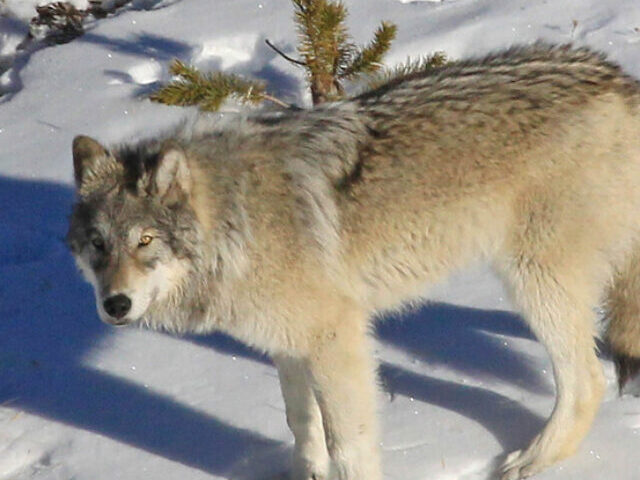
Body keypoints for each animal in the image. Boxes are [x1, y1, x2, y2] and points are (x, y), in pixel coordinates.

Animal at [66, 45, 640, 480]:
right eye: (98, 244)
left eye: (145, 240)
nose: (115, 305)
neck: (238, 219)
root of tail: (616, 79)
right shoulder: (288, 345)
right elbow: (301, 424)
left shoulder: (337, 338)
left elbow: (348, 444)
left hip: (533, 281)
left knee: (586, 382)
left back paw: (533, 461)